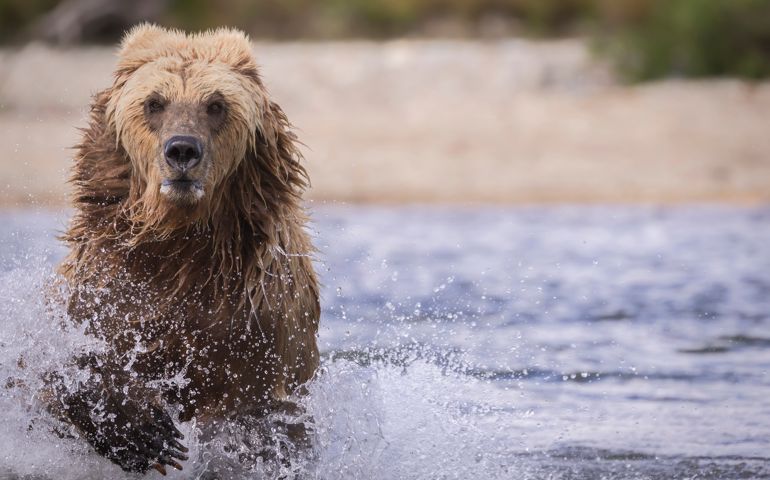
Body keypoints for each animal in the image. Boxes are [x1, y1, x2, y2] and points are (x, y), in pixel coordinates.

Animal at [46, 24, 321, 475]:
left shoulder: (259, 313)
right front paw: (144, 431)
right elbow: (60, 365)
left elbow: (261, 414)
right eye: (154, 102)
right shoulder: (105, 285)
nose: (182, 151)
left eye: (216, 104)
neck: (179, 245)